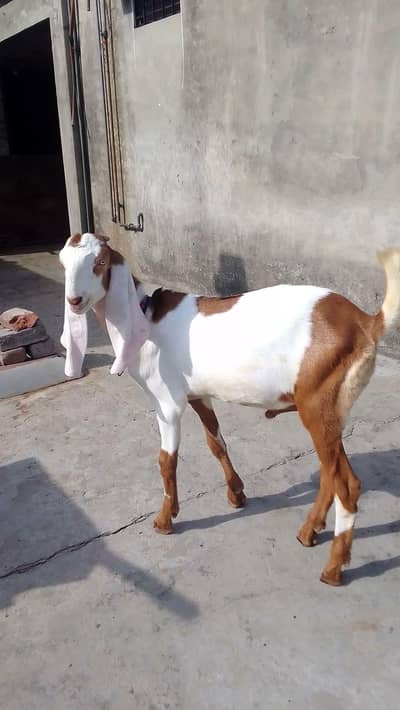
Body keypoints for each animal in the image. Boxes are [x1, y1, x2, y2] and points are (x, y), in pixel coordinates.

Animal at [59, 233, 400, 586]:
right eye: (63, 263)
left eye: (100, 262)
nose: (74, 300)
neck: (146, 319)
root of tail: (364, 322)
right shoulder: (199, 395)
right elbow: (216, 443)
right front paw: (237, 494)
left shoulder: (167, 402)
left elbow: (166, 461)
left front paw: (165, 520)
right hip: (332, 409)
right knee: (331, 473)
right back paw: (309, 532)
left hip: (318, 403)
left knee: (346, 484)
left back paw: (333, 568)